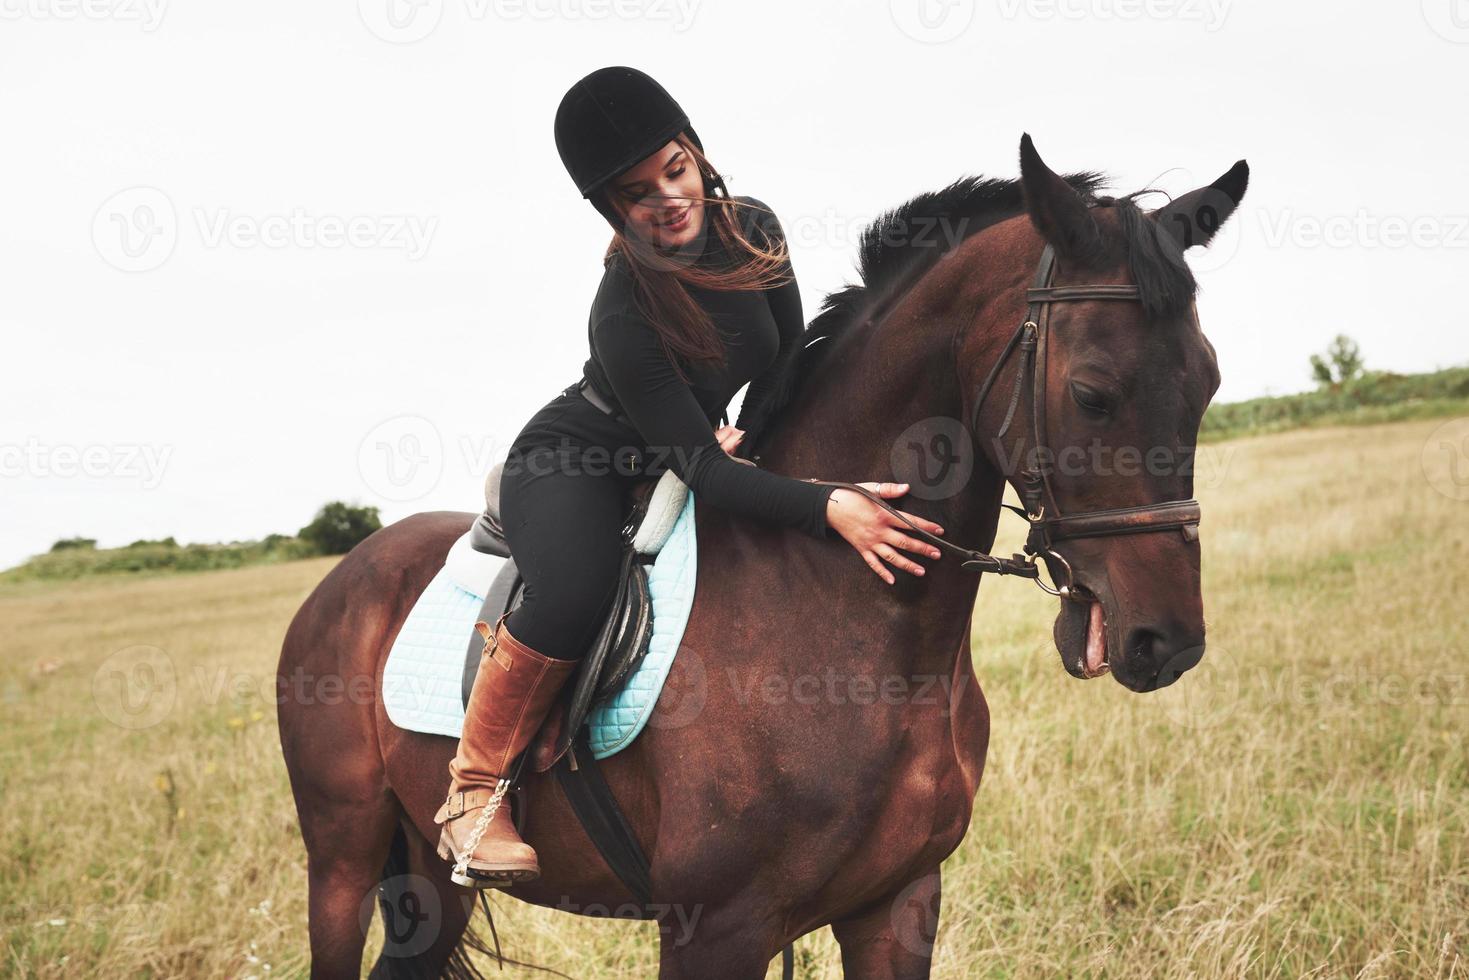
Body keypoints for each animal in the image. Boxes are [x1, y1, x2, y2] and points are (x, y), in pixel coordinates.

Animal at [277, 139, 1251, 980]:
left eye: (1207, 379)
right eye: (1091, 393)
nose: (1166, 642)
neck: (845, 617)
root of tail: (342, 580)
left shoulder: (898, 902)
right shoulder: (714, 930)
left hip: (428, 877)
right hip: (342, 858)